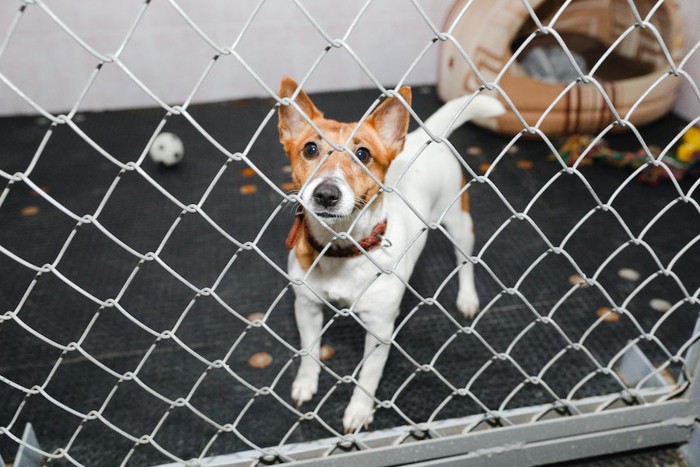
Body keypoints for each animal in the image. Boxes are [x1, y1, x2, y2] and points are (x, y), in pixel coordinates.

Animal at [276, 77, 506, 432]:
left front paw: (359, 411)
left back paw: (467, 297)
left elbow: (368, 378)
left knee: (465, 262)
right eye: (310, 149)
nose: (326, 194)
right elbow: (309, 352)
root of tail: (425, 135)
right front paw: (305, 383)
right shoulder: (307, 308)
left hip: (460, 223)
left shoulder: (379, 329)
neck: (343, 249)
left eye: (363, 154)